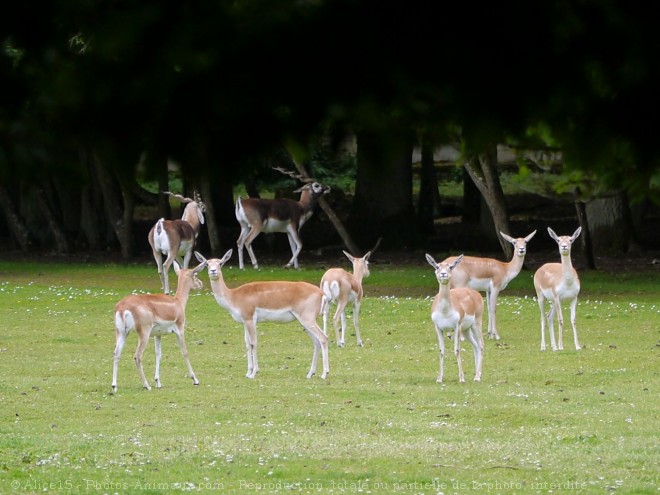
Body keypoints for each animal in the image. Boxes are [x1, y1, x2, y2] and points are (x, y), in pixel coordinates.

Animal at [111, 258, 206, 394]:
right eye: (196, 274)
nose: (201, 284)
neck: (178, 302)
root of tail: (122, 307)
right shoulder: (180, 329)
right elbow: (185, 352)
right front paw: (195, 379)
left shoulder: (157, 335)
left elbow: (158, 354)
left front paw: (158, 382)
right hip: (143, 333)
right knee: (137, 356)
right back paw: (146, 385)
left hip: (122, 332)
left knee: (116, 353)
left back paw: (114, 386)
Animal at [196, 250, 330, 382]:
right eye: (207, 264)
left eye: (220, 263)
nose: (213, 271)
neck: (233, 296)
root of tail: (321, 293)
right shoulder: (244, 322)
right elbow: (247, 344)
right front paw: (248, 373)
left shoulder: (250, 319)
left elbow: (253, 343)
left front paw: (254, 373)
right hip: (305, 322)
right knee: (316, 342)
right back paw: (310, 374)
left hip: (307, 320)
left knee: (323, 338)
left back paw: (324, 374)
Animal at [422, 254, 484, 386]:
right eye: (437, 266)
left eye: (450, 267)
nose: (443, 274)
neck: (445, 311)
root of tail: (475, 293)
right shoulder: (438, 328)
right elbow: (441, 351)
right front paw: (439, 378)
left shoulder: (457, 327)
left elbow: (457, 350)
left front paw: (461, 378)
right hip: (466, 330)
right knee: (475, 346)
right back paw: (477, 374)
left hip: (475, 324)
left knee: (481, 345)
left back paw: (477, 377)